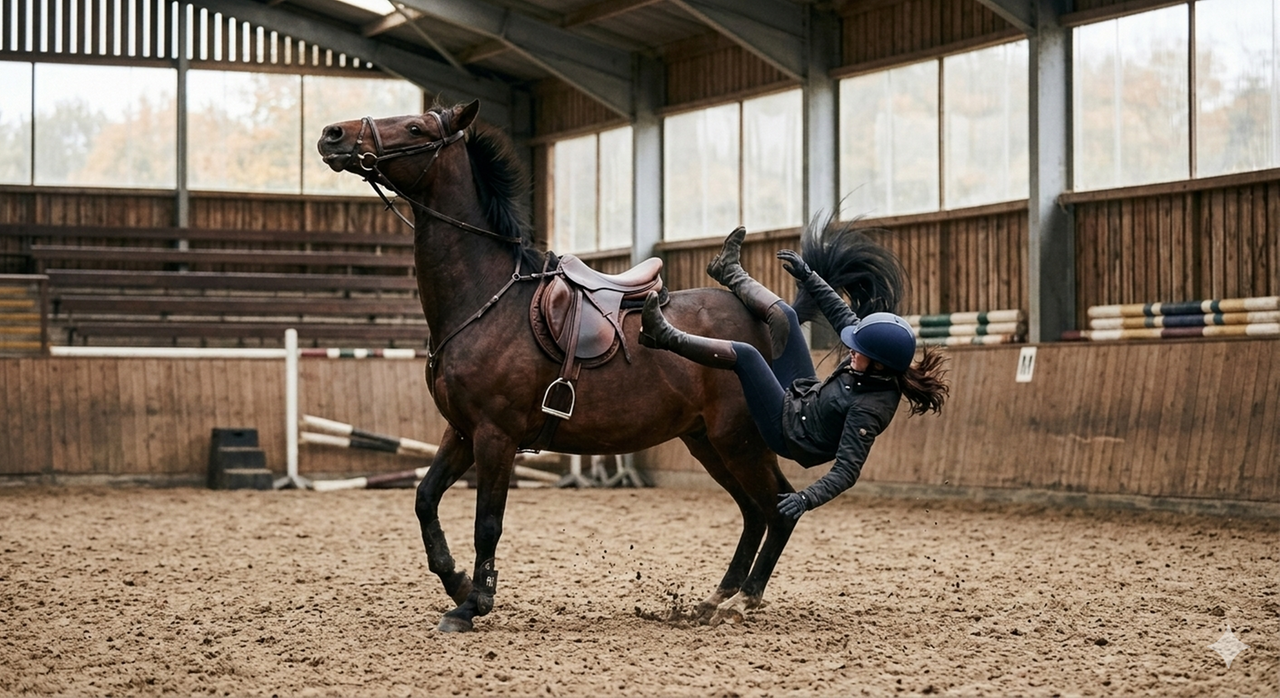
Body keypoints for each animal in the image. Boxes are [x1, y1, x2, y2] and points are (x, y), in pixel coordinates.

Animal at [317, 100, 797, 632]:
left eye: (416, 127)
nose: (332, 134)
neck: (485, 297)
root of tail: (757, 320)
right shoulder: (461, 431)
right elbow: (425, 499)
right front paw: (457, 581)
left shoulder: (495, 434)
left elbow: (487, 523)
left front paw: (473, 604)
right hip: (707, 442)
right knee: (754, 511)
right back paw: (716, 599)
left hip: (739, 440)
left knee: (779, 508)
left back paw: (743, 600)